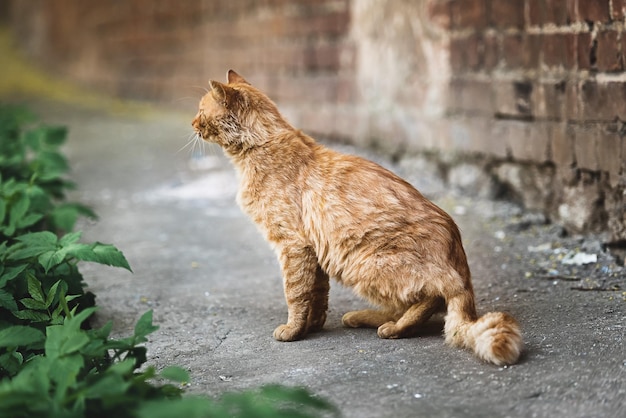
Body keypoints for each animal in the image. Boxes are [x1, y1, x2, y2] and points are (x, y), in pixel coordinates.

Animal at [190, 70, 520, 364]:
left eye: (200, 111)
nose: (192, 123)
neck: (261, 147)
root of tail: (458, 254)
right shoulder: (315, 251)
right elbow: (317, 295)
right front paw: (312, 326)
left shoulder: (292, 246)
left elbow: (295, 293)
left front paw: (293, 331)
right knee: (410, 301)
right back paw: (362, 317)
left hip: (364, 264)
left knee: (431, 297)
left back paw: (393, 328)